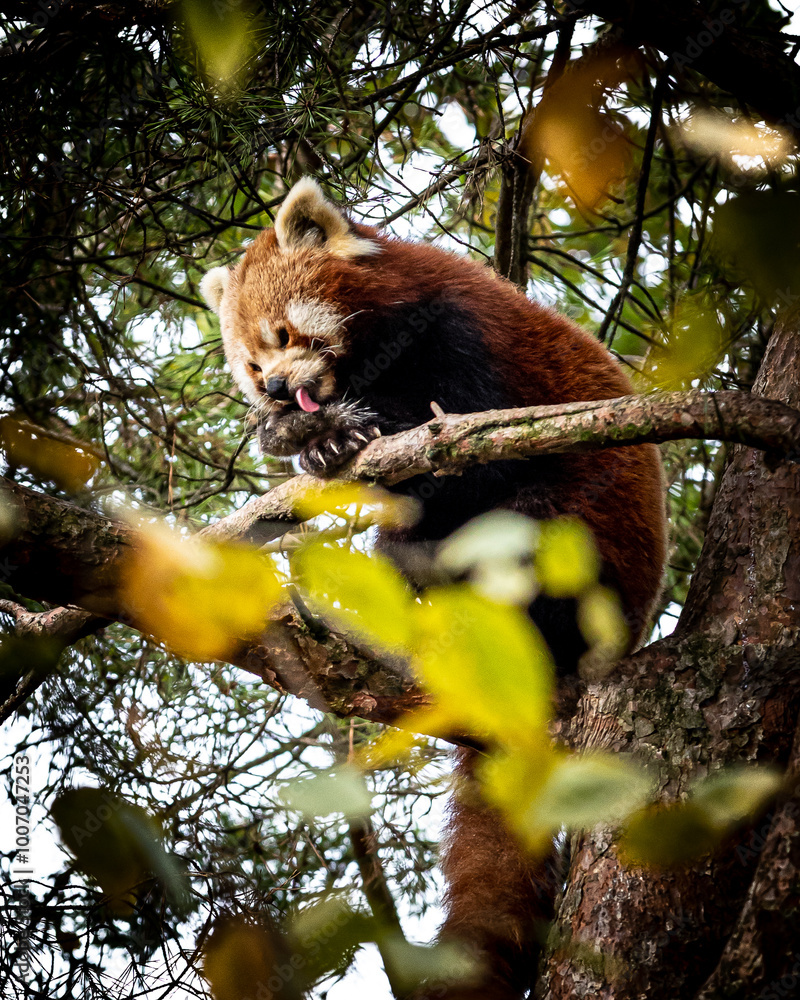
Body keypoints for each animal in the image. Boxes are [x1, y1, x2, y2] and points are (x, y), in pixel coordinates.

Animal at [200, 177, 667, 999]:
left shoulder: (460, 337)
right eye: (254, 368)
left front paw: (339, 431)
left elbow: (463, 443)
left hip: (590, 541)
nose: (282, 392)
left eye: (286, 334)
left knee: (521, 530)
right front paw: (302, 439)